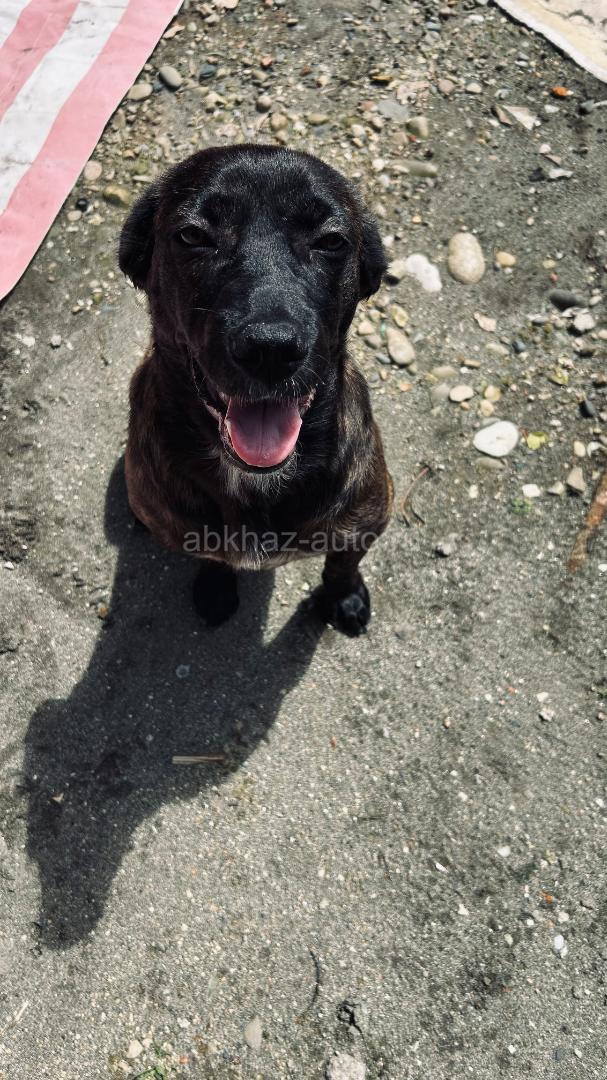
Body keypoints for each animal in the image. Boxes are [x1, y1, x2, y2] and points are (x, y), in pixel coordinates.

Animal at [118, 145, 392, 636]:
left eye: (331, 241)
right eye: (193, 235)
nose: (270, 349)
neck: (256, 482)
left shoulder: (365, 522)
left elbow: (342, 564)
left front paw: (343, 597)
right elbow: (213, 556)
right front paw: (216, 587)